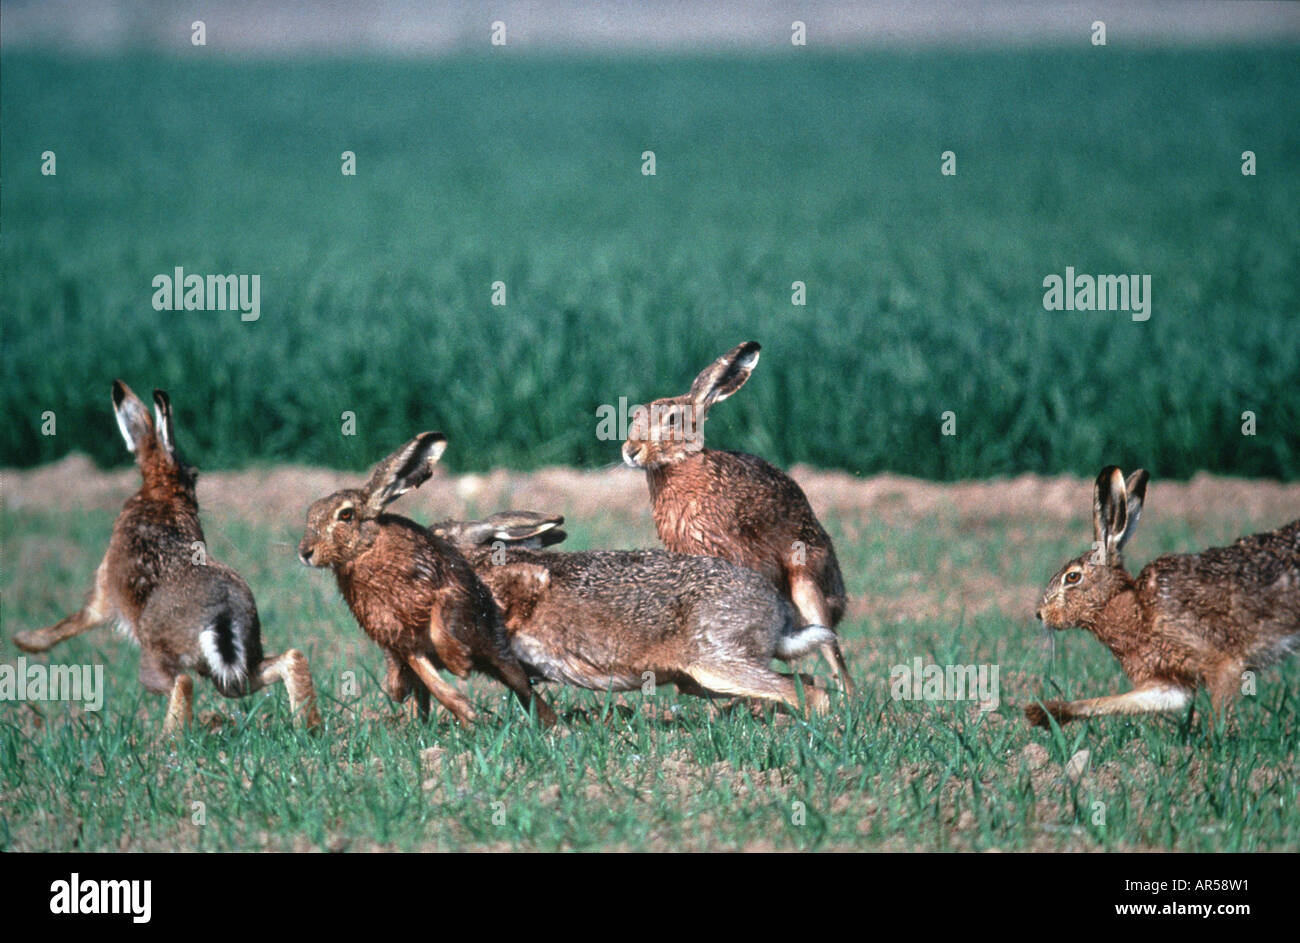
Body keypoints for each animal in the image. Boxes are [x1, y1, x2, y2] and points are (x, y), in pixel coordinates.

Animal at [12, 381, 320, 734]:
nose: (196, 480)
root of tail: (221, 614)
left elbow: (76, 620)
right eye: (195, 474)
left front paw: (26, 642)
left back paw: (165, 741)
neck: (160, 491)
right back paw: (308, 727)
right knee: (287, 661)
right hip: (235, 666)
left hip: (158, 657)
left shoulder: (103, 595)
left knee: (181, 682)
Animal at [297, 434, 557, 728]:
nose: (305, 553)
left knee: (519, 683)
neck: (367, 549)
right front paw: (462, 698)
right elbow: (427, 673)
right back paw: (456, 717)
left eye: (346, 515)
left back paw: (550, 723)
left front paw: (458, 662)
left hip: (493, 648)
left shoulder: (444, 588)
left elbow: (439, 618)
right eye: (311, 513)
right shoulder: (402, 641)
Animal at [431, 511, 834, 715]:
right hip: (702, 676)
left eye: (436, 534)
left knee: (808, 695)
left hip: (717, 660)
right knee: (802, 682)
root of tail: (777, 612)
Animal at [1028, 465, 1300, 727]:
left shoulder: (1223, 664)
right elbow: (1122, 701)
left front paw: (1218, 744)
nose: (1040, 614)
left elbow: (1219, 718)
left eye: (1072, 577)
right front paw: (1045, 713)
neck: (1137, 607)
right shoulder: (1169, 681)